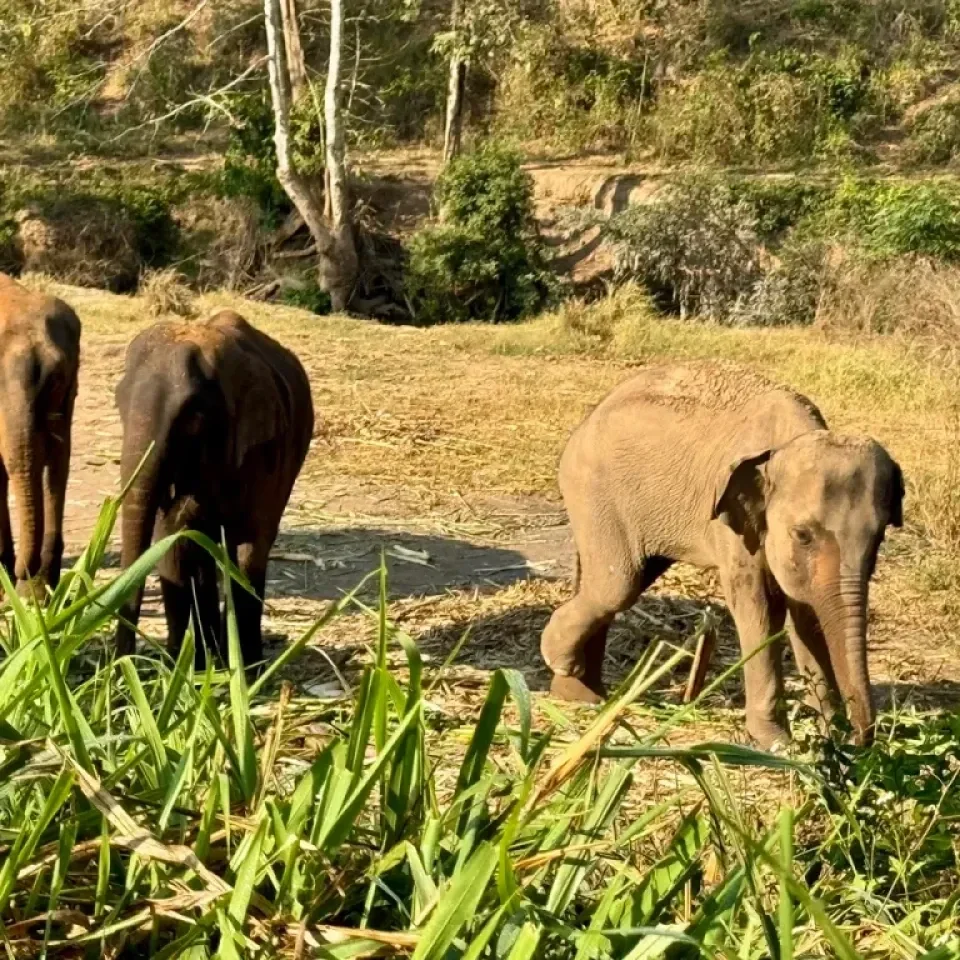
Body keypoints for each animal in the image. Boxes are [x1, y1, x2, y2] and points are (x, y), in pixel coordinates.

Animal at [113, 310, 314, 669]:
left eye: (193, 417)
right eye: (118, 403)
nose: (120, 669)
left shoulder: (265, 448)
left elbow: (253, 542)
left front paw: (245, 673)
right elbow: (173, 539)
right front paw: (183, 670)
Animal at [540, 361, 904, 748]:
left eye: (879, 537)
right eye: (803, 536)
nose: (860, 738)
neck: (787, 443)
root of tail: (589, 418)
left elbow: (806, 612)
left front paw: (828, 734)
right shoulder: (734, 522)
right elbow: (760, 607)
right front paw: (776, 742)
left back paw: (581, 695)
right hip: (594, 492)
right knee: (616, 585)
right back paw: (562, 664)